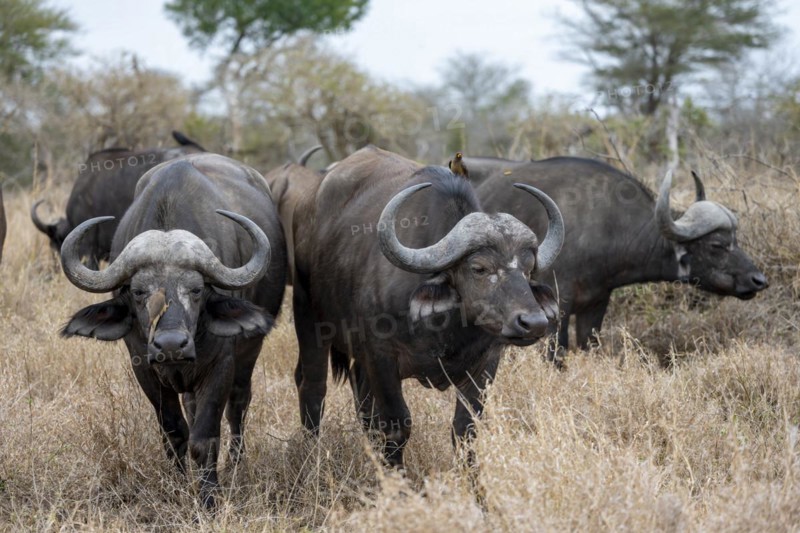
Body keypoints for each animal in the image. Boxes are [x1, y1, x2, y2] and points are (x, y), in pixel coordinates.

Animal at [59, 153, 287, 508]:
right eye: (139, 292)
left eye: (196, 290)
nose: (170, 345)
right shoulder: (144, 368)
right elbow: (175, 433)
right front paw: (178, 488)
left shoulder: (221, 366)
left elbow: (204, 437)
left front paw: (209, 498)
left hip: (250, 351)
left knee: (239, 404)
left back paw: (236, 464)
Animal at [292, 146, 563, 466]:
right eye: (479, 268)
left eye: (528, 269)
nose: (533, 323)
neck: (447, 330)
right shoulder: (381, 357)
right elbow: (397, 426)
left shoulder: (486, 363)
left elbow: (465, 430)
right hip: (308, 318)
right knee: (312, 387)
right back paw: (311, 455)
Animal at [470, 156, 768, 361]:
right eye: (717, 245)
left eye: (736, 240)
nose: (759, 280)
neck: (608, 226)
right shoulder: (556, 306)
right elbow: (556, 354)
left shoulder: (596, 306)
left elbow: (589, 345)